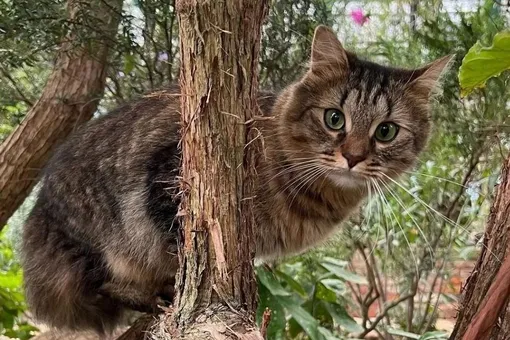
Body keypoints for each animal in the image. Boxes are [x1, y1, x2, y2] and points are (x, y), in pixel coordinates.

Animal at [20, 25, 450, 334]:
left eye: (386, 132)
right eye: (334, 119)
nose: (354, 157)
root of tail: (39, 211)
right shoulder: (167, 177)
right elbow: (183, 250)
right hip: (98, 241)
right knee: (105, 284)